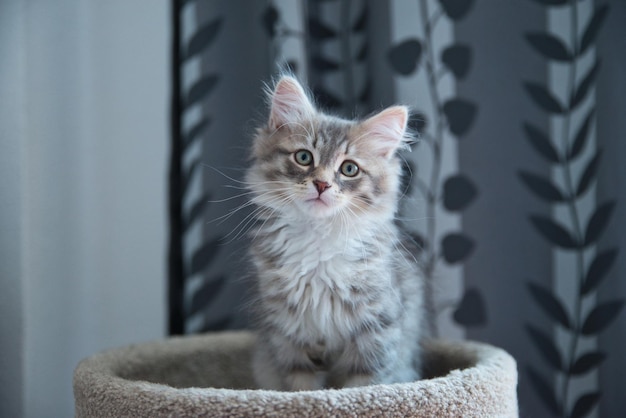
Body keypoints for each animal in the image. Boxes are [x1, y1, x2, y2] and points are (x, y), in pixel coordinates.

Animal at [246, 76, 422, 392]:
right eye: (304, 157)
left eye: (349, 168)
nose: (322, 185)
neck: (318, 241)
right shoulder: (288, 333)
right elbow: (303, 388)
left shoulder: (377, 331)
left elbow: (362, 386)